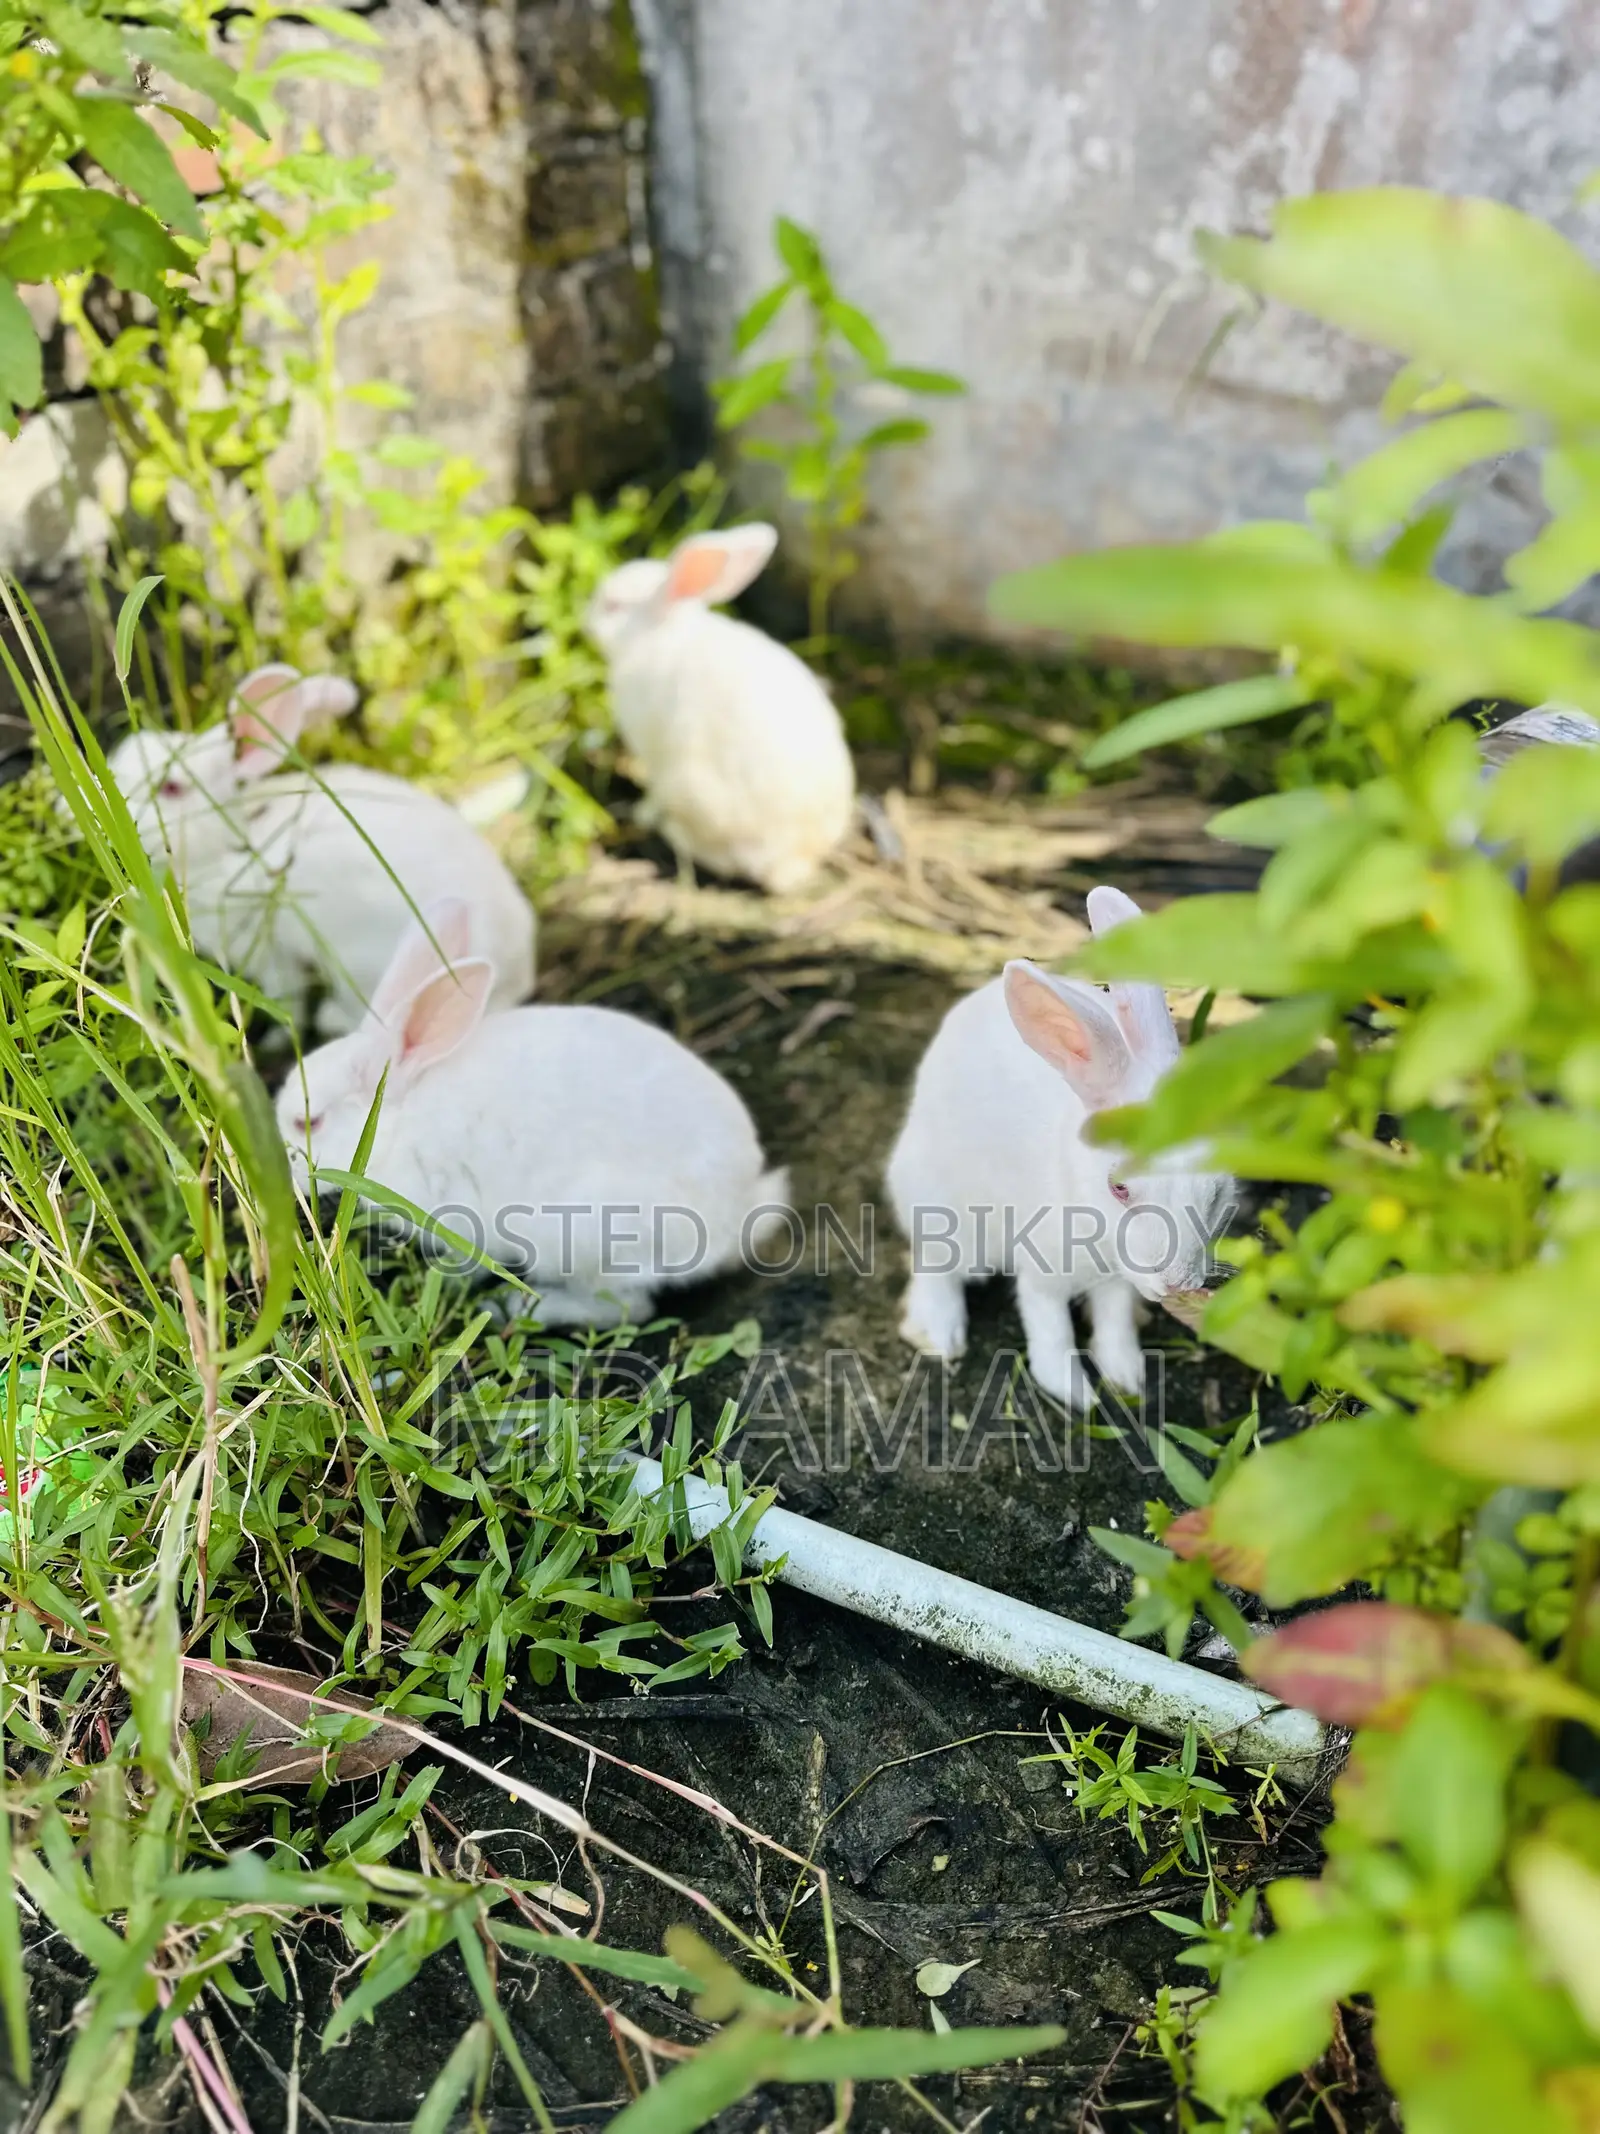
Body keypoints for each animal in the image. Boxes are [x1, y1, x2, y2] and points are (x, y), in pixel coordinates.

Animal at [105, 665, 536, 1034]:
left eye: (171, 788)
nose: (98, 802)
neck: (233, 839)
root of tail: (518, 972)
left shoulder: (264, 953)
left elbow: (287, 997)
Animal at [276, 900, 791, 1327]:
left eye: (309, 1122)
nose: (283, 1177)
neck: (398, 1116)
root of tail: (739, 1211)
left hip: (580, 1238)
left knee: (629, 1308)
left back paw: (518, 1306)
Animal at [586, 524, 856, 894]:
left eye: (613, 606)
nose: (586, 614)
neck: (661, 634)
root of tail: (793, 859)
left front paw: (642, 810)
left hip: (692, 790)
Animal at [885, 886, 1235, 1411]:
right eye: (1119, 1188)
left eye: (1216, 1192)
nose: (1176, 1283)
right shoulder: (1042, 1271)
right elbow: (1049, 1326)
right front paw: (1077, 1395)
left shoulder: (1115, 1280)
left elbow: (1112, 1319)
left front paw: (1126, 1378)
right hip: (937, 1203)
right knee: (934, 1265)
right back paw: (939, 1335)